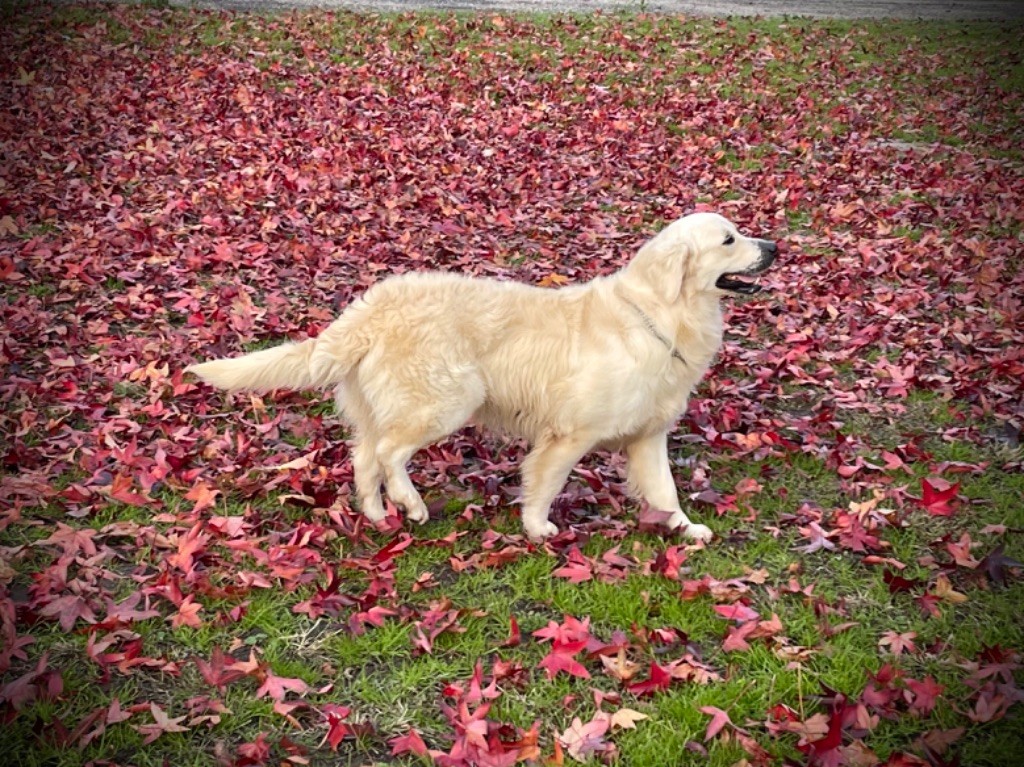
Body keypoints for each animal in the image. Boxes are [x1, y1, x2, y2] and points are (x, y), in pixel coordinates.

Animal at [188, 211, 774, 540]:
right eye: (729, 240)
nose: (773, 247)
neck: (659, 314)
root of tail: (368, 308)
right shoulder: (569, 435)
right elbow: (544, 484)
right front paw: (538, 529)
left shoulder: (648, 437)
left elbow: (666, 493)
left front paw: (687, 529)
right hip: (450, 397)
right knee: (389, 454)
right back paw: (411, 504)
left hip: (388, 405)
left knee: (364, 459)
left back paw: (378, 514)